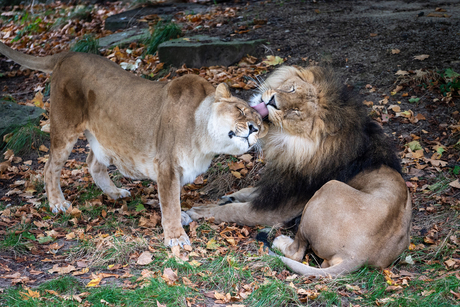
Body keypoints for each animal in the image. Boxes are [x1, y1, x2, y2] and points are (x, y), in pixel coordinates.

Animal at [0, 42, 266, 249]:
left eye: (261, 123)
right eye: (241, 111)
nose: (254, 129)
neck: (206, 143)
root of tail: (68, 54)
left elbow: (174, 200)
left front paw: (181, 219)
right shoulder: (167, 166)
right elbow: (170, 203)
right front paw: (176, 237)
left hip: (102, 136)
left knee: (92, 163)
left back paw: (114, 192)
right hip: (65, 128)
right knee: (50, 168)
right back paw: (57, 203)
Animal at [188, 65, 414, 276]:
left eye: (296, 112)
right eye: (292, 89)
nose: (272, 102)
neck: (290, 145)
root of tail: (358, 257)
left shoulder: (275, 209)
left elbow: (231, 211)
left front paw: (199, 211)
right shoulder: (278, 185)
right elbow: (247, 192)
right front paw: (229, 196)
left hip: (329, 188)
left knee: (296, 252)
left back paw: (279, 240)